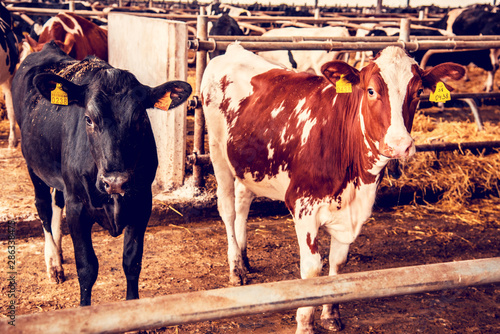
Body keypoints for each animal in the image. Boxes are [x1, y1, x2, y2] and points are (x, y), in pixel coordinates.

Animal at [12, 41, 191, 306]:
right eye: (88, 119)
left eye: (140, 117)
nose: (115, 182)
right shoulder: (77, 206)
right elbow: (87, 267)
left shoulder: (142, 202)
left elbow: (132, 262)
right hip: (33, 165)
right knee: (43, 205)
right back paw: (53, 263)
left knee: (56, 201)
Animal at [200, 43, 464, 332]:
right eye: (371, 90)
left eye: (418, 92)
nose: (399, 145)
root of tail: (234, 49)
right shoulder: (302, 206)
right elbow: (312, 268)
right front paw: (305, 323)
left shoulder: (353, 212)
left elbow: (338, 262)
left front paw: (331, 314)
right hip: (217, 153)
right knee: (227, 209)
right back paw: (236, 268)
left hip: (248, 162)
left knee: (243, 199)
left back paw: (245, 258)